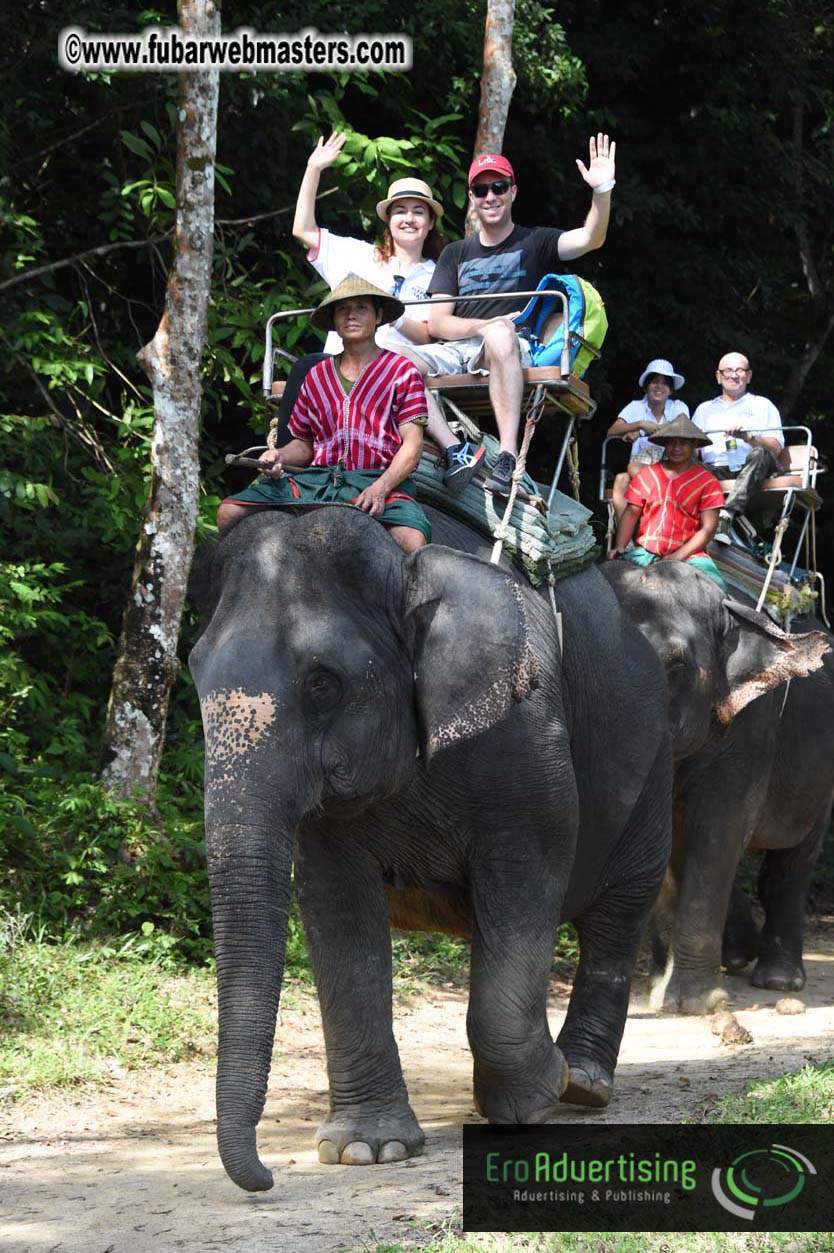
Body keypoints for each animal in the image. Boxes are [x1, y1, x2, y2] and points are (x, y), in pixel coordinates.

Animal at [189, 503, 673, 1193]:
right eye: (194, 673)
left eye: (322, 685)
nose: (265, 1177)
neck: (403, 569)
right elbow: (337, 908)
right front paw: (368, 1149)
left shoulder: (527, 729)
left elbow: (528, 872)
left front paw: (537, 1095)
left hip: (655, 761)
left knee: (617, 916)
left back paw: (581, 1084)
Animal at [601, 559, 833, 1014]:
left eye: (674, 665)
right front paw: (657, 997)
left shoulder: (748, 728)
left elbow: (717, 834)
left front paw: (695, 1005)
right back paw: (738, 955)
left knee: (794, 857)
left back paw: (779, 980)